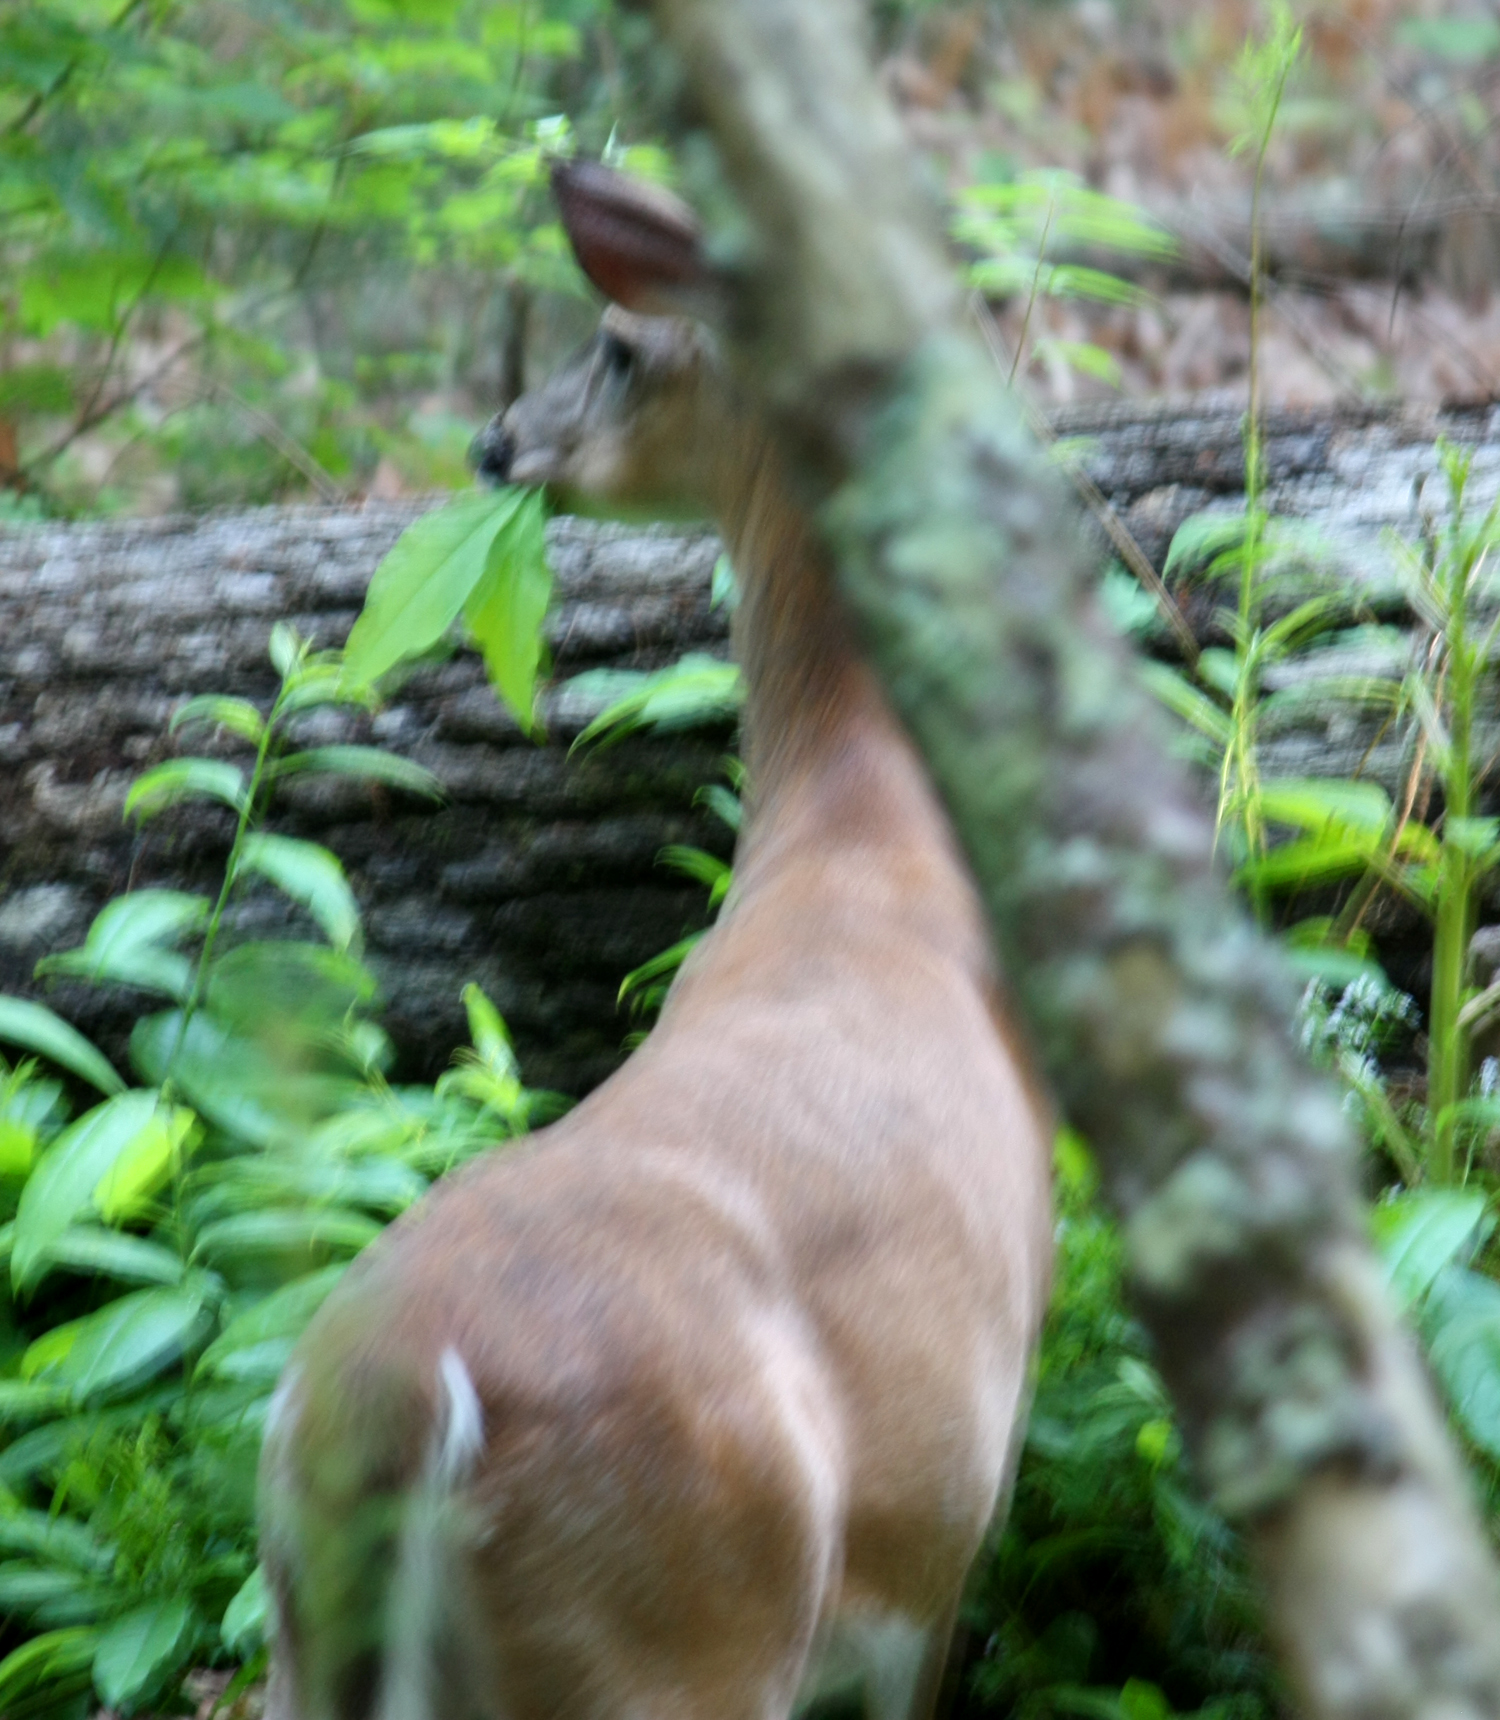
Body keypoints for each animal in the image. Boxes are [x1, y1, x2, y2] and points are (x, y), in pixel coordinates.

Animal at [261, 164, 1052, 1720]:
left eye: (619, 346)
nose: (495, 439)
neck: (862, 823)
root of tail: (400, 1399)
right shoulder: (943, 1540)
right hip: (677, 1627)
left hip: (303, 1629)